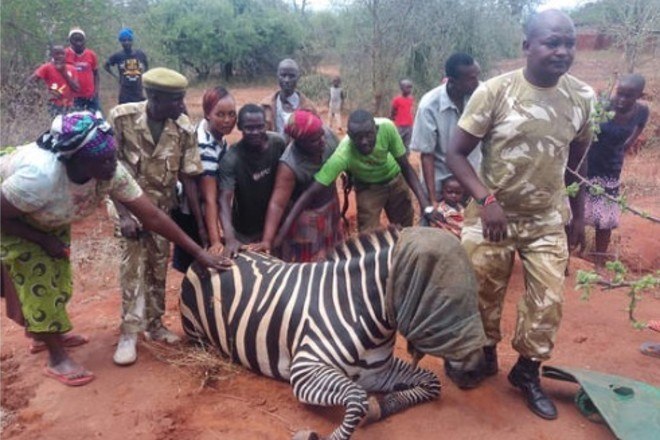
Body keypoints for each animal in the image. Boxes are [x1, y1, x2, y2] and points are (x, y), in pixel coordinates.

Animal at [179, 227, 484, 440]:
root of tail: (213, 248)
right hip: (197, 333)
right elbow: (358, 400)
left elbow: (432, 382)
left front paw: (380, 407)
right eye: (443, 295)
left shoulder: (378, 372)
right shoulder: (305, 369)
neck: (360, 311)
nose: (476, 367)